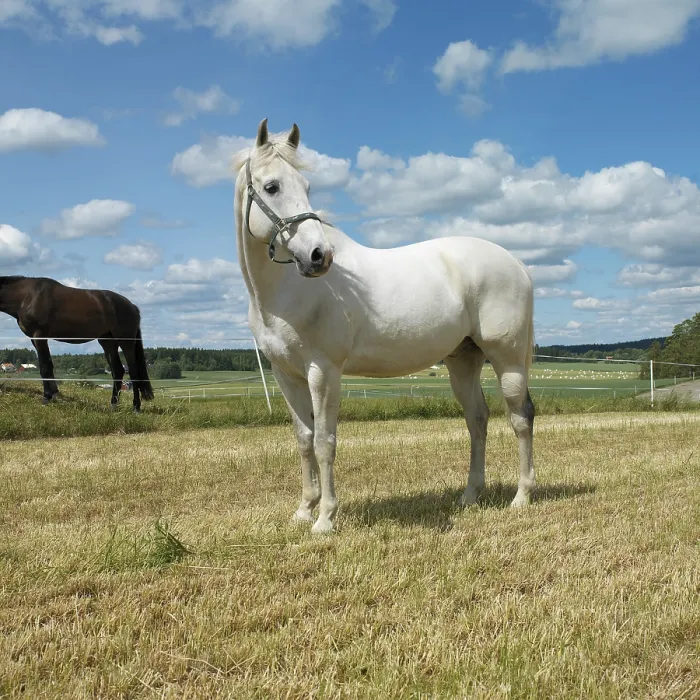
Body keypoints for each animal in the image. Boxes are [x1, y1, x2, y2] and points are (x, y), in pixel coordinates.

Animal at [0, 276, 154, 412]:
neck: (27, 296)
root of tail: (132, 307)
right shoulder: (36, 339)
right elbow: (49, 365)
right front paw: (54, 394)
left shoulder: (39, 336)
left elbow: (44, 367)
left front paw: (46, 397)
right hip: (107, 342)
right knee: (118, 370)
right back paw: (113, 405)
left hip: (126, 342)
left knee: (133, 371)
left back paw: (136, 407)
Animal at [233, 119, 536, 533]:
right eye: (272, 187)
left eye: (307, 187)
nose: (318, 256)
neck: (285, 292)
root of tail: (516, 263)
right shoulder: (285, 374)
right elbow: (304, 439)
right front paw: (304, 510)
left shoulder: (323, 371)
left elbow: (325, 441)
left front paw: (325, 519)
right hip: (463, 361)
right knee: (478, 420)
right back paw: (470, 495)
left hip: (507, 359)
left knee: (521, 417)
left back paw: (521, 497)